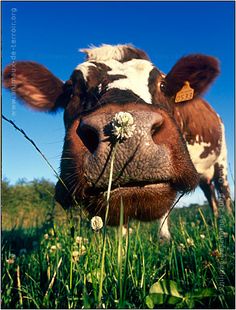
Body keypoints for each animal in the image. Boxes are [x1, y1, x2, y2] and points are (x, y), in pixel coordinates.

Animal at [3, 43, 232, 237]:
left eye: (162, 84)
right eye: (71, 90)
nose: (133, 140)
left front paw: (164, 240)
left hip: (221, 161)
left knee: (223, 191)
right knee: (211, 195)